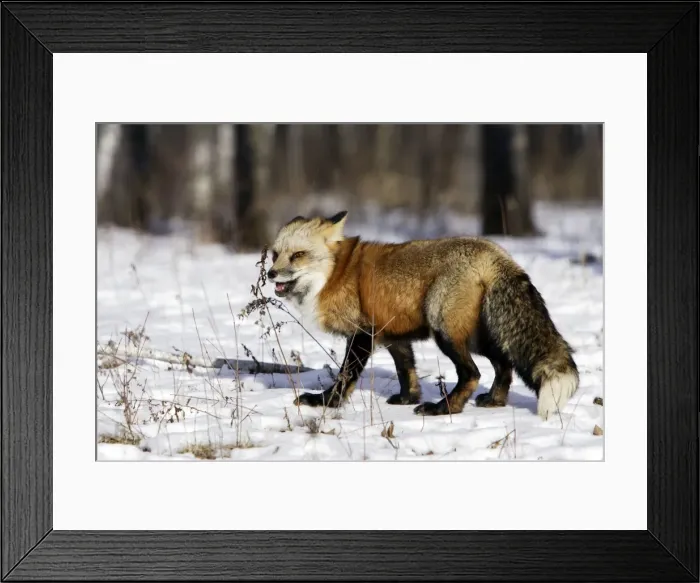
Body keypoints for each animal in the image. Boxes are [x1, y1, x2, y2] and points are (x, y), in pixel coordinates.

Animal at [266, 210, 579, 420]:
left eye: (297, 255)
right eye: (274, 255)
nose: (270, 274)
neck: (335, 274)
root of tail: (495, 252)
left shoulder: (362, 334)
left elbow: (345, 375)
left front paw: (326, 402)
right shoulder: (392, 335)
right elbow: (406, 371)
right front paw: (407, 399)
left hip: (446, 332)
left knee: (472, 373)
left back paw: (444, 408)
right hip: (477, 336)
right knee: (504, 365)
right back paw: (493, 401)